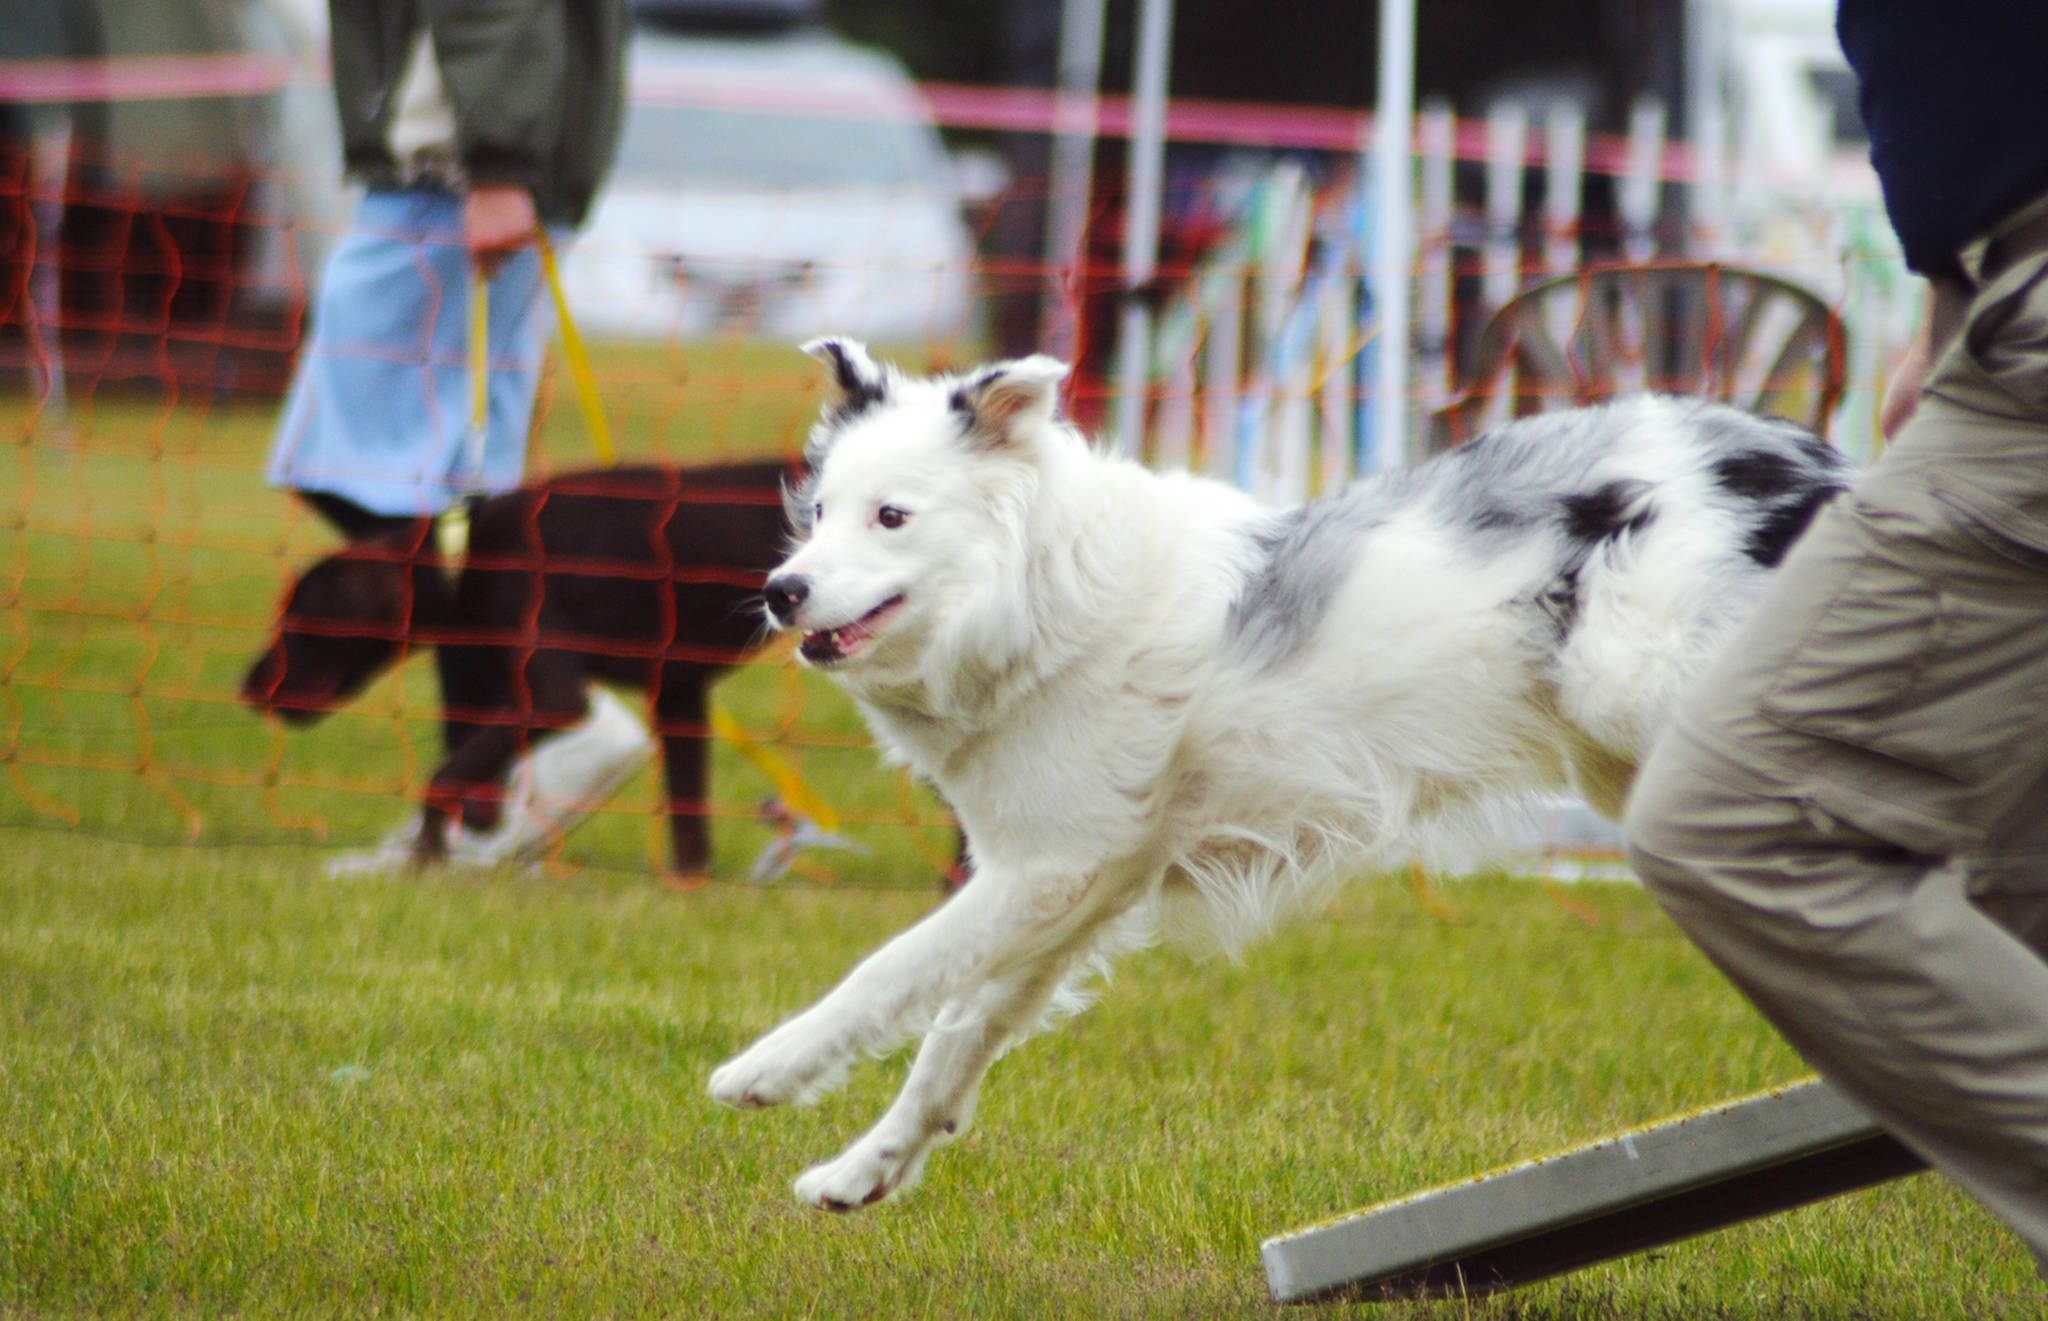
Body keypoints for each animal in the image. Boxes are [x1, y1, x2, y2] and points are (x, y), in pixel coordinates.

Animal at [245, 458, 798, 880]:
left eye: (296, 621)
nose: (245, 687)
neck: (465, 552)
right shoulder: (677, 692)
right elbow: (688, 817)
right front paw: (689, 886)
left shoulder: (554, 700)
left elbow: (444, 776)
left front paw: (424, 860)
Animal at [708, 337, 1859, 1204]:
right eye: (820, 510)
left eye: (892, 516)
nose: (781, 590)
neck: (1043, 594)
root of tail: (1814, 462)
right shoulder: (1081, 881)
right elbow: (956, 1029)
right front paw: (866, 1169)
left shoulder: (1048, 869)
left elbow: (888, 970)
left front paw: (764, 1067)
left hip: (1642, 688)